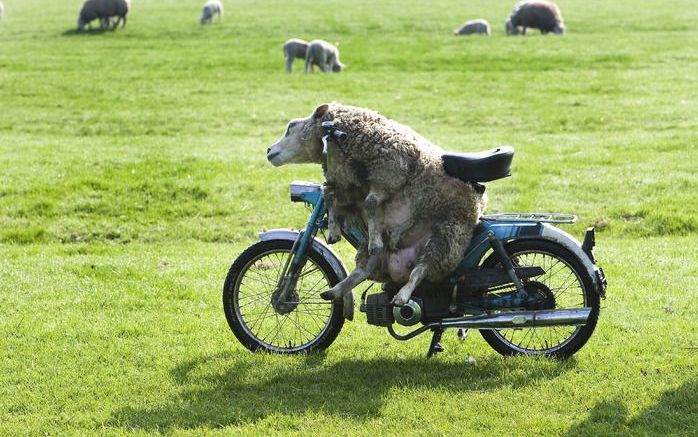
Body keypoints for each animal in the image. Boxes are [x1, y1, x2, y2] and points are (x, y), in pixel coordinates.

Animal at [266, 102, 484, 306]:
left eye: (291, 127)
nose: (268, 150)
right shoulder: (345, 184)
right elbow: (330, 196)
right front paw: (334, 231)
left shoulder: (390, 173)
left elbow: (369, 203)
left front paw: (373, 239)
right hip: (389, 251)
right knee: (363, 270)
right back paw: (335, 291)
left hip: (447, 236)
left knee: (420, 271)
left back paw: (402, 295)